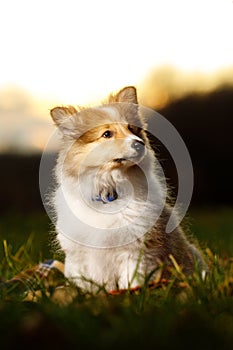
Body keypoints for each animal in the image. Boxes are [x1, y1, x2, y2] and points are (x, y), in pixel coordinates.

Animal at [49, 86, 206, 292]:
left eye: (132, 129)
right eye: (107, 134)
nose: (140, 144)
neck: (109, 194)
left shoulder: (136, 252)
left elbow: (132, 282)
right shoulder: (80, 257)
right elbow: (86, 284)